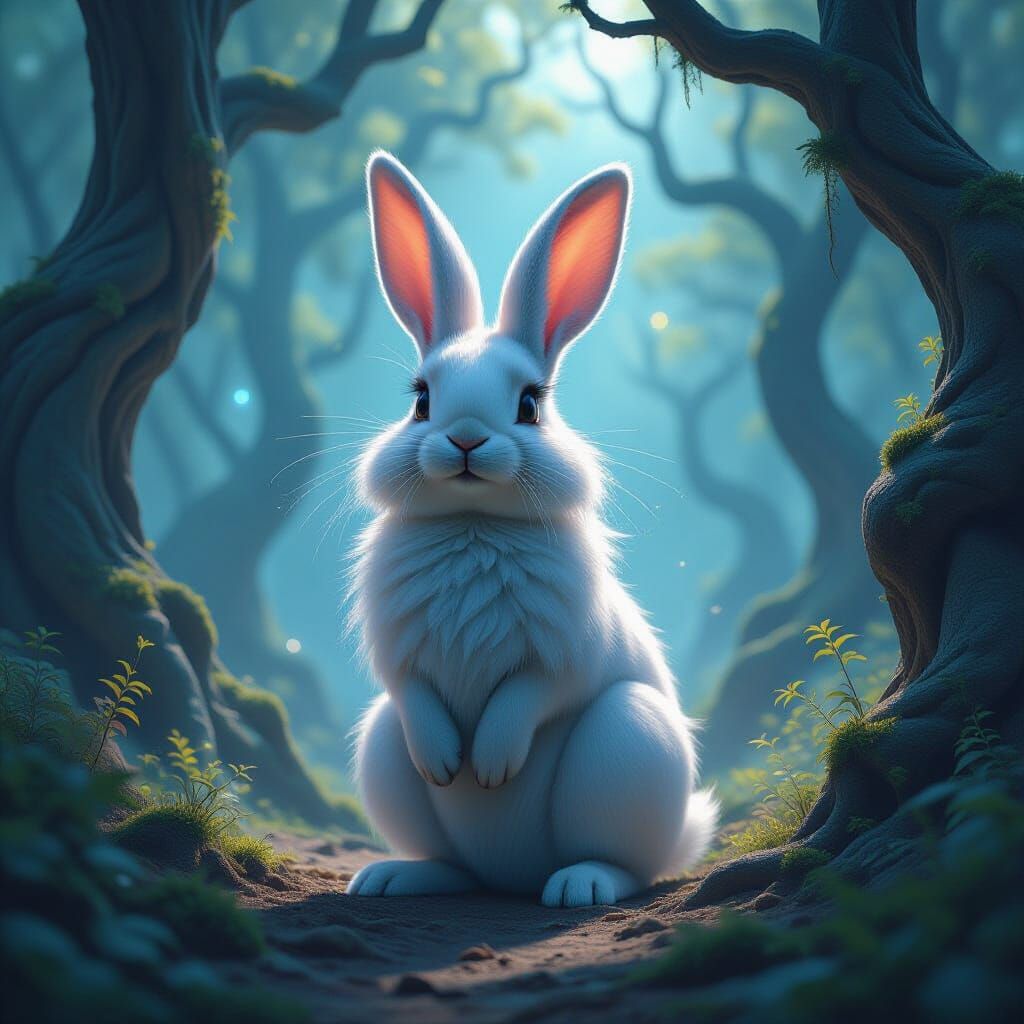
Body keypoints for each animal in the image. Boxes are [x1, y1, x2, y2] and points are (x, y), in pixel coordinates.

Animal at [346, 151, 717, 908]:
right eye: (420, 400)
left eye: (529, 405)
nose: (464, 438)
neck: (474, 523)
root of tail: (509, 875)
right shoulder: (398, 662)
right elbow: (414, 693)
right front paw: (446, 761)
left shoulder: (564, 654)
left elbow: (527, 698)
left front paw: (488, 766)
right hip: (380, 744)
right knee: (453, 863)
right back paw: (394, 877)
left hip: (629, 740)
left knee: (629, 865)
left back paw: (582, 885)